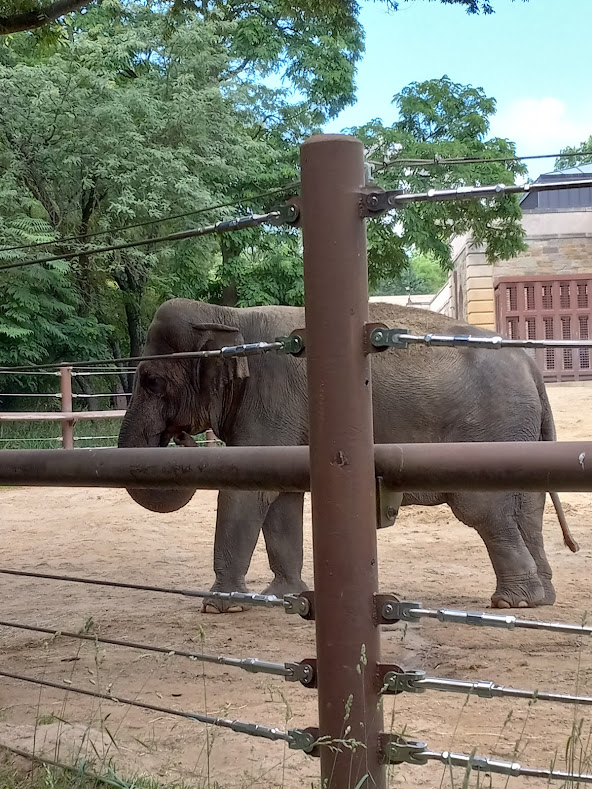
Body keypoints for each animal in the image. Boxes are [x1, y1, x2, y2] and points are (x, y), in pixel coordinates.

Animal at [118, 298, 579, 612]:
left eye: (152, 381)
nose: (179, 437)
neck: (228, 315)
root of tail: (531, 365)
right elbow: (282, 497)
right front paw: (285, 596)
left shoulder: (271, 402)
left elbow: (251, 492)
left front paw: (218, 605)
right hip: (522, 431)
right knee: (528, 509)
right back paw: (542, 598)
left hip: (486, 431)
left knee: (484, 510)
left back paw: (512, 602)